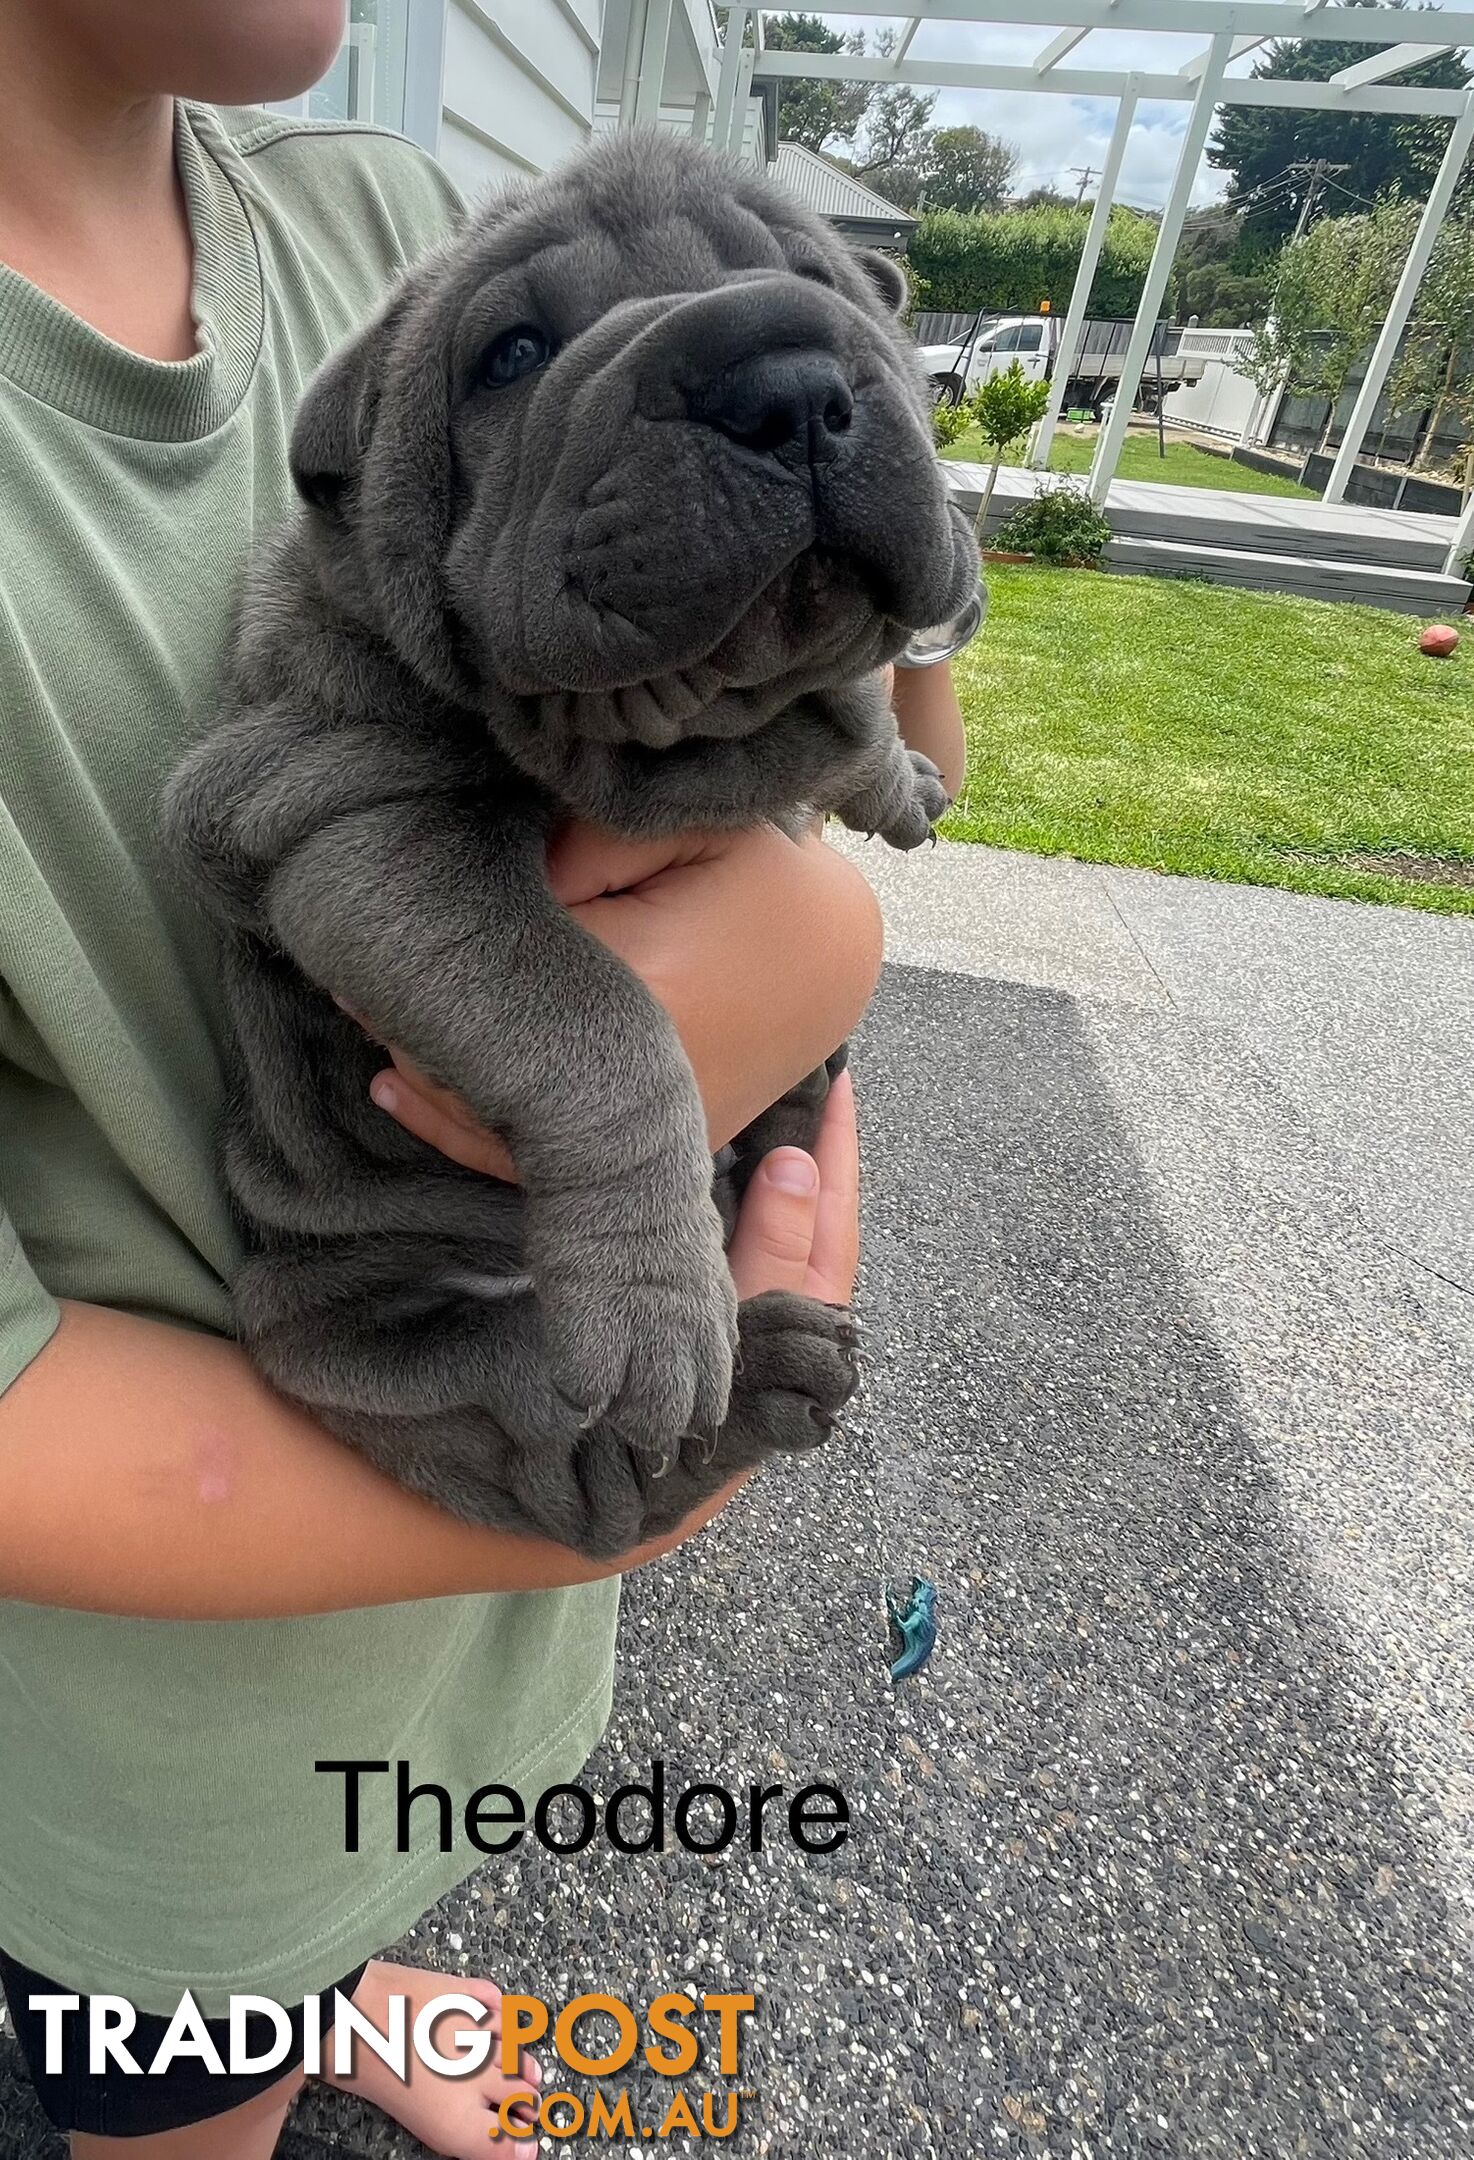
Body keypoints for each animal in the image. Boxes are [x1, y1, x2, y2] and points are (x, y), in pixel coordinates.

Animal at [166, 130, 976, 1555]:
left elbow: (848, 706)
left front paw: (898, 772)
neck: (696, 729)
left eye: (818, 278)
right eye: (514, 354)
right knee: (581, 1469)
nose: (779, 375)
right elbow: (591, 1020)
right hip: (361, 1344)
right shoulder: (355, 817)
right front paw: (654, 1300)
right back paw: (752, 1377)